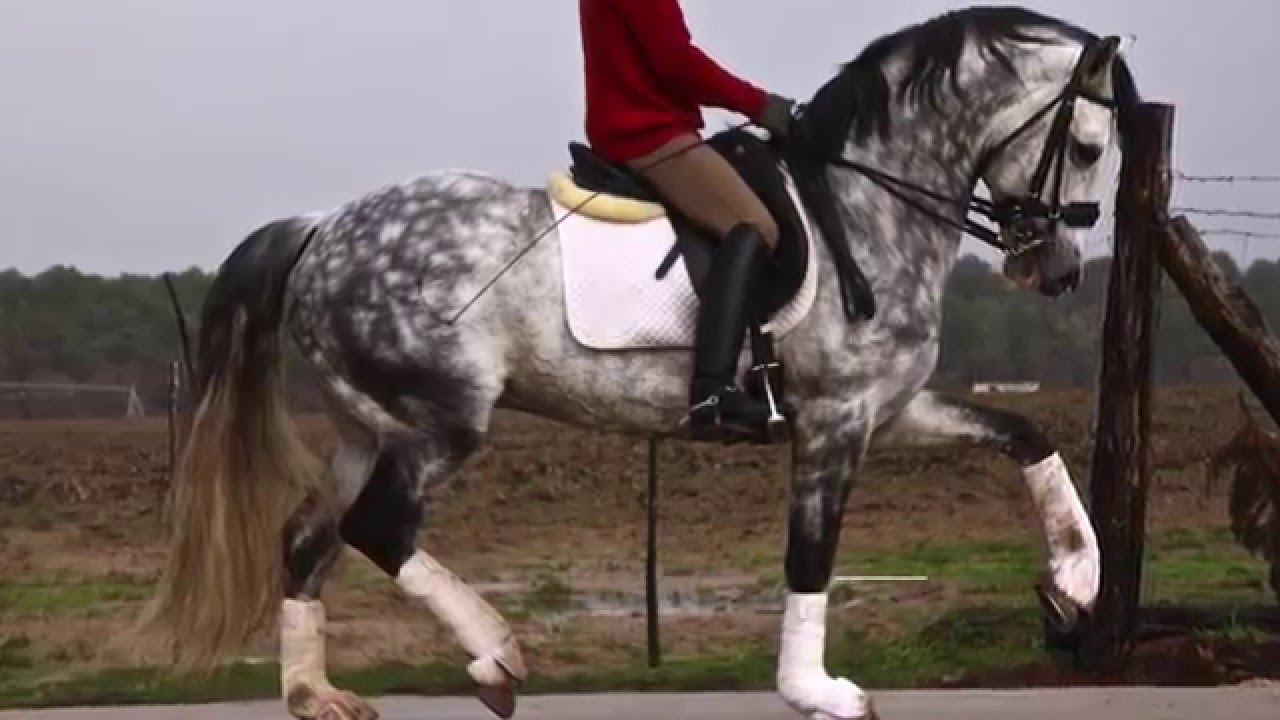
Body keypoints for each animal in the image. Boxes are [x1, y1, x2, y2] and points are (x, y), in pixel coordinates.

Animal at [136, 6, 1139, 720]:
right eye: (1089, 148)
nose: (1056, 269)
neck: (864, 205)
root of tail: (319, 233)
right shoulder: (834, 422)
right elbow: (811, 554)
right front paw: (816, 692)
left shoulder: (886, 409)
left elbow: (1024, 432)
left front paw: (1078, 581)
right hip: (439, 421)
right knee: (378, 530)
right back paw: (496, 654)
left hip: (364, 424)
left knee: (307, 540)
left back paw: (317, 695)